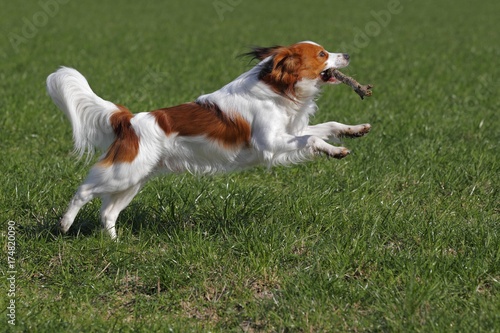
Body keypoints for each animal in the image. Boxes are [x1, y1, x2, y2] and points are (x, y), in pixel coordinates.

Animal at [47, 40, 372, 239]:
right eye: (322, 54)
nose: (348, 54)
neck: (278, 89)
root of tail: (128, 120)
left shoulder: (289, 133)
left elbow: (328, 125)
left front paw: (354, 130)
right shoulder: (271, 144)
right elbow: (312, 141)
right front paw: (335, 150)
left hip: (133, 179)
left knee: (108, 213)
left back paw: (115, 244)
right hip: (122, 173)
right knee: (84, 191)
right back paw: (64, 224)